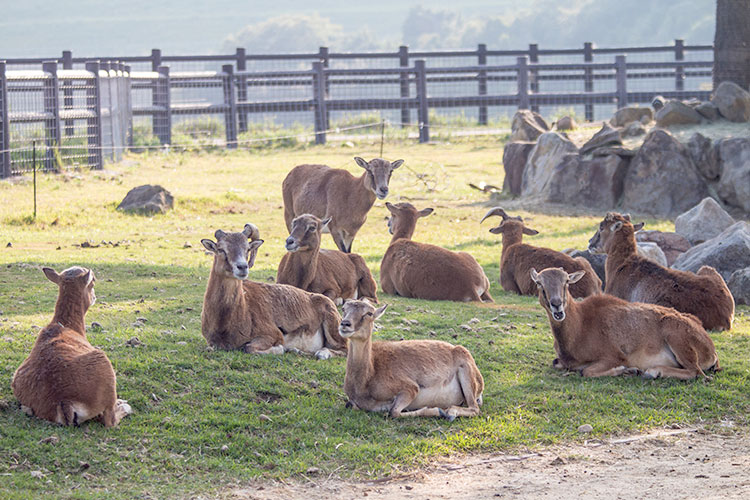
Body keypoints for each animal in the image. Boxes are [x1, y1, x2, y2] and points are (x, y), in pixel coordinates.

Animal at [11, 268, 132, 428]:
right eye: (93, 281)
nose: (95, 297)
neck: (69, 326)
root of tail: (65, 402)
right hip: (104, 364)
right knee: (109, 420)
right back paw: (124, 405)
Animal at [203, 224, 350, 360]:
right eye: (221, 249)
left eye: (247, 249)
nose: (242, 267)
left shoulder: (272, 335)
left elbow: (249, 347)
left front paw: (281, 349)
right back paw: (297, 350)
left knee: (343, 350)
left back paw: (321, 353)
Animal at [340, 298, 488, 420]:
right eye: (343, 309)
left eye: (369, 313)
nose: (345, 324)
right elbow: (350, 404)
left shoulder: (410, 387)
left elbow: (393, 412)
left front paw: (439, 411)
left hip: (466, 374)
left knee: (475, 408)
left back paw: (450, 412)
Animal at [532, 270, 720, 378]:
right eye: (539, 283)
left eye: (566, 282)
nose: (557, 305)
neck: (580, 326)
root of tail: (711, 350)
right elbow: (558, 363)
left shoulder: (613, 355)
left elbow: (586, 371)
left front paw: (629, 369)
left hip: (676, 335)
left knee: (696, 372)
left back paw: (652, 372)